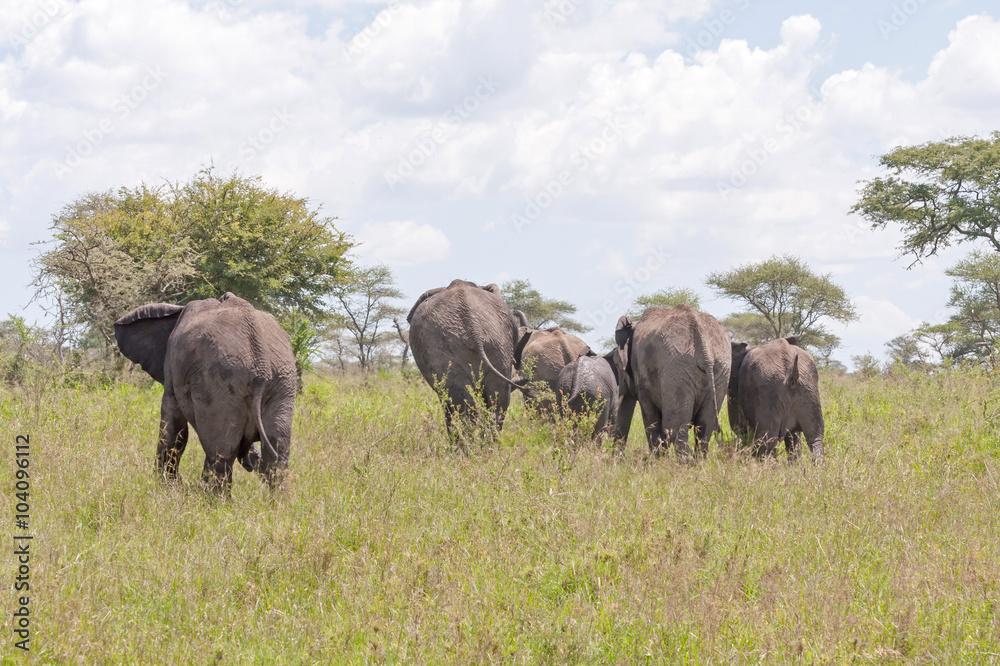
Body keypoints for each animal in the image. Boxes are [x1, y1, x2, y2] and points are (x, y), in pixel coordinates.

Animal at [116, 290, 294, 488]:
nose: (250, 461)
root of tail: (261, 367)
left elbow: (174, 426)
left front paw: (166, 486)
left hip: (221, 382)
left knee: (221, 451)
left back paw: (210, 496)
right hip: (282, 382)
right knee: (278, 453)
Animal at [612, 304, 732, 456]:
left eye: (616, 364)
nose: (617, 457)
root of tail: (706, 353)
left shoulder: (643, 379)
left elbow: (651, 419)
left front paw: (658, 459)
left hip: (677, 371)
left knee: (675, 428)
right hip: (721, 370)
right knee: (704, 428)